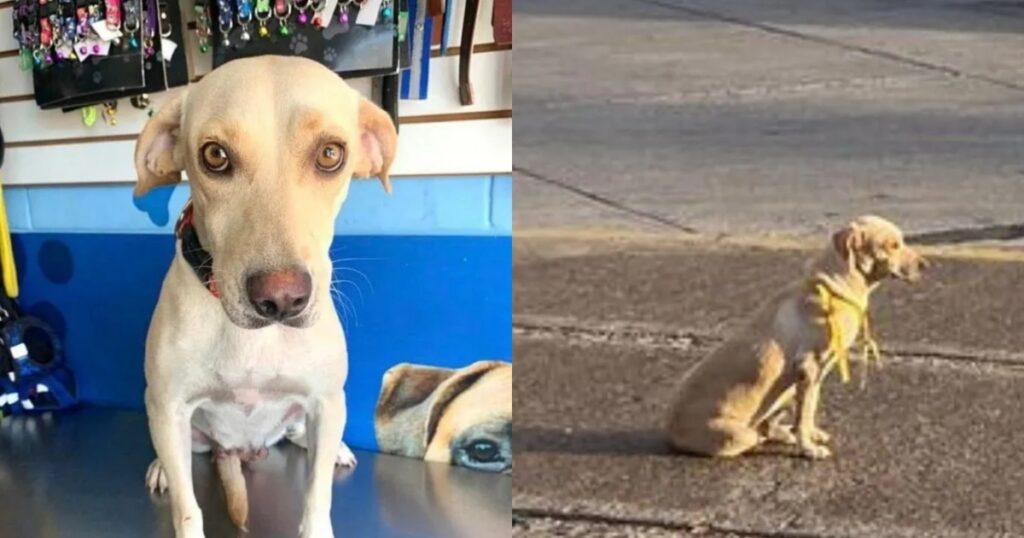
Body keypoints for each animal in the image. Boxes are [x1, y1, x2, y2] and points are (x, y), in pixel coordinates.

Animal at [132, 55, 395, 536]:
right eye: (215, 155)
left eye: (331, 154)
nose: (282, 299)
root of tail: (240, 450)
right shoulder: (169, 406)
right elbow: (187, 508)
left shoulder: (324, 402)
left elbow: (317, 500)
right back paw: (161, 466)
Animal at [663, 214, 929, 457]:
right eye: (892, 245)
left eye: (902, 240)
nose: (926, 266)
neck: (835, 287)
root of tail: (669, 428)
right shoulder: (808, 368)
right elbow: (804, 416)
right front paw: (808, 449)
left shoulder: (816, 374)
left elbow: (809, 411)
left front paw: (811, 436)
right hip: (741, 432)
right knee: (757, 435)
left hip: (785, 391)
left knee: (769, 425)